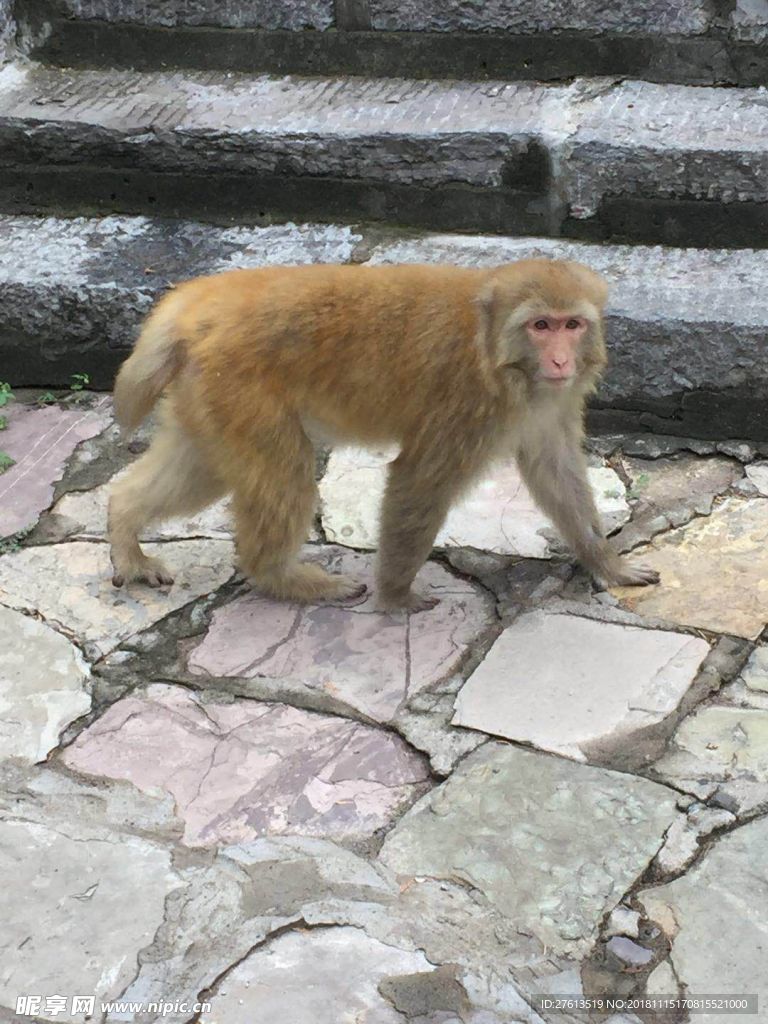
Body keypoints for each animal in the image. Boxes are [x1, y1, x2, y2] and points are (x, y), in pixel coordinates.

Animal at [108, 260, 663, 610]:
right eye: (541, 325)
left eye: (572, 325)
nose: (561, 360)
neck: (493, 350)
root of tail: (201, 301)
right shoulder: (466, 404)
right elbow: (419, 481)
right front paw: (396, 595)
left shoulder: (548, 403)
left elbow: (555, 470)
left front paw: (606, 563)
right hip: (241, 392)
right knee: (283, 478)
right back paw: (280, 577)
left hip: (207, 396)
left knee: (200, 469)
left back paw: (124, 524)